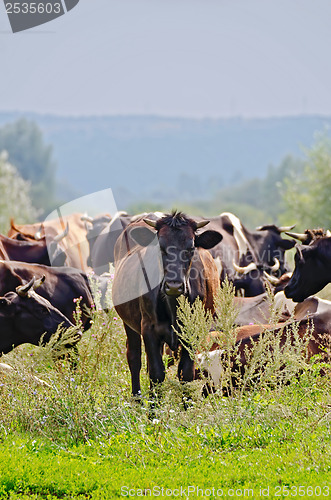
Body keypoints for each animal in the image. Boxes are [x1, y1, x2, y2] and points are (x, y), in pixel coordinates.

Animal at [113, 210, 224, 394]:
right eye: (160, 247)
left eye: (191, 248)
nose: (174, 285)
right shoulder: (148, 328)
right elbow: (157, 373)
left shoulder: (193, 331)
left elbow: (186, 373)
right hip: (128, 322)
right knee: (134, 358)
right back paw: (137, 397)